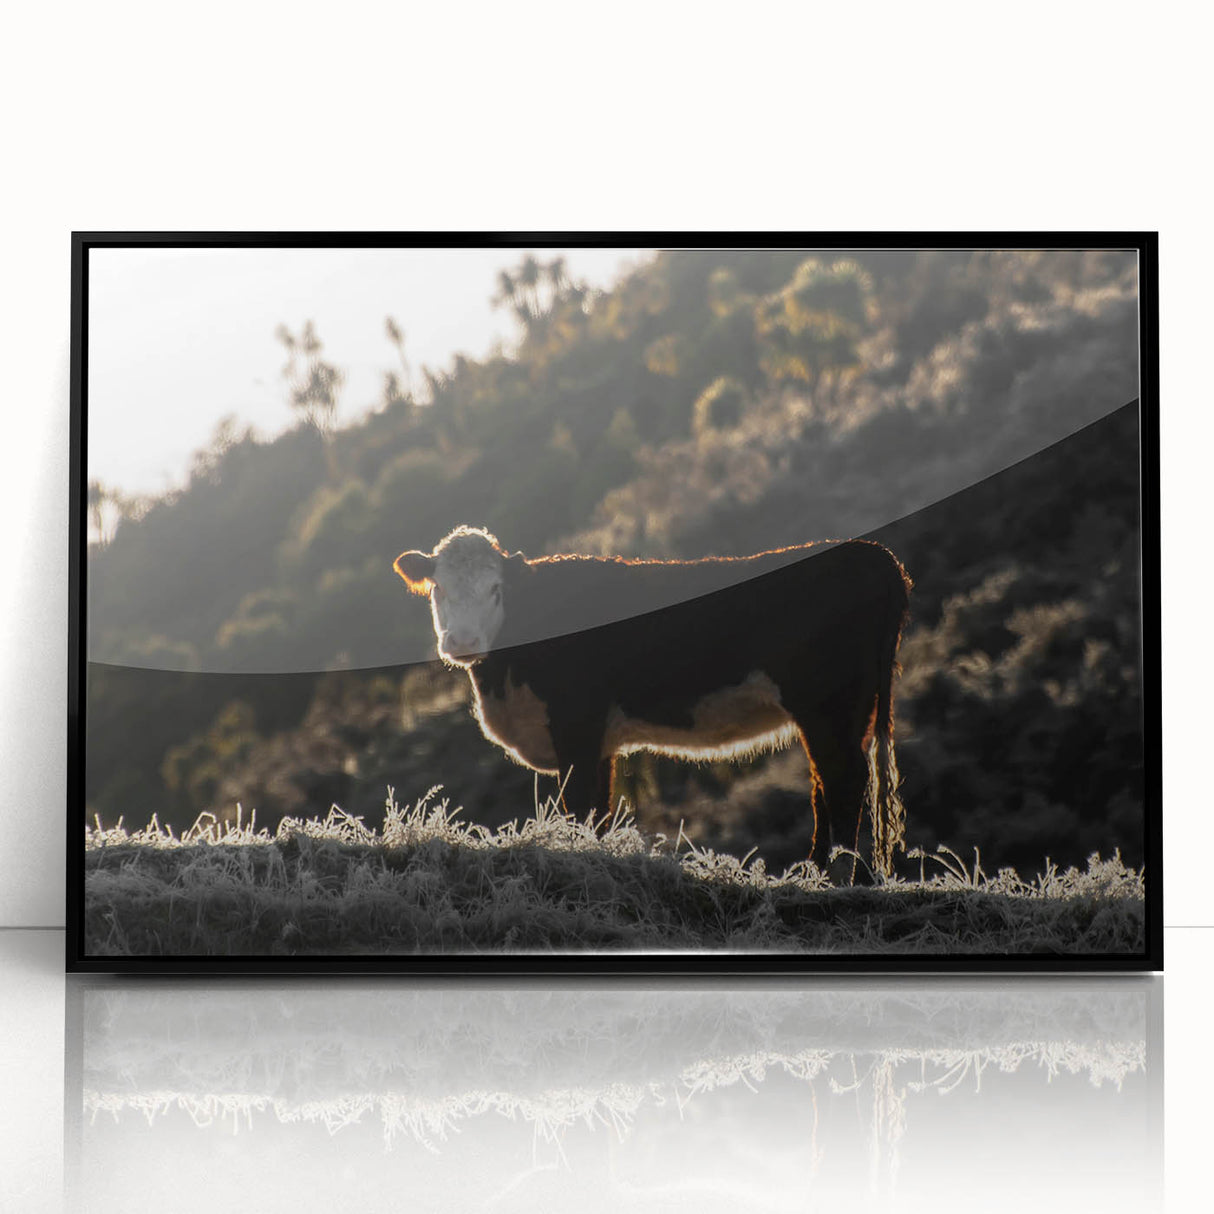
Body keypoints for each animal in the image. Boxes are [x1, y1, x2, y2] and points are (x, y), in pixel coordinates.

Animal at [394, 525, 911, 881]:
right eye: (439, 588)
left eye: (496, 589)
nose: (462, 642)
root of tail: (871, 553)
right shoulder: (599, 743)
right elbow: (598, 810)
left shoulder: (576, 727)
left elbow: (579, 805)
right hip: (844, 711)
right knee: (829, 782)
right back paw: (817, 872)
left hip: (828, 704)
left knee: (843, 779)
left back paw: (832, 876)